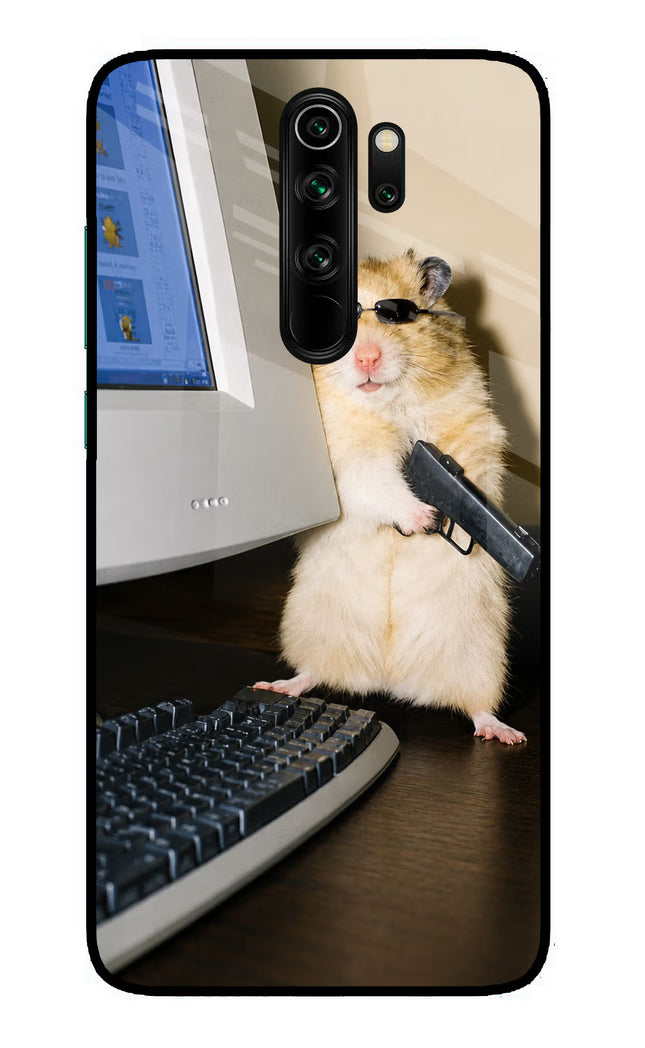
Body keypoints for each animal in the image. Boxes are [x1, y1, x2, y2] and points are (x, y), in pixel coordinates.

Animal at [256, 251, 526, 744]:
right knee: (314, 672)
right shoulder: (348, 460)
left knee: (477, 706)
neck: (386, 404)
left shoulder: (471, 427)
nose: (367, 358)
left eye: (396, 316)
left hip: (479, 654)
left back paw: (504, 733)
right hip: (311, 626)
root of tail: (388, 679)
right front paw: (424, 518)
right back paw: (279, 685)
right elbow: (378, 483)